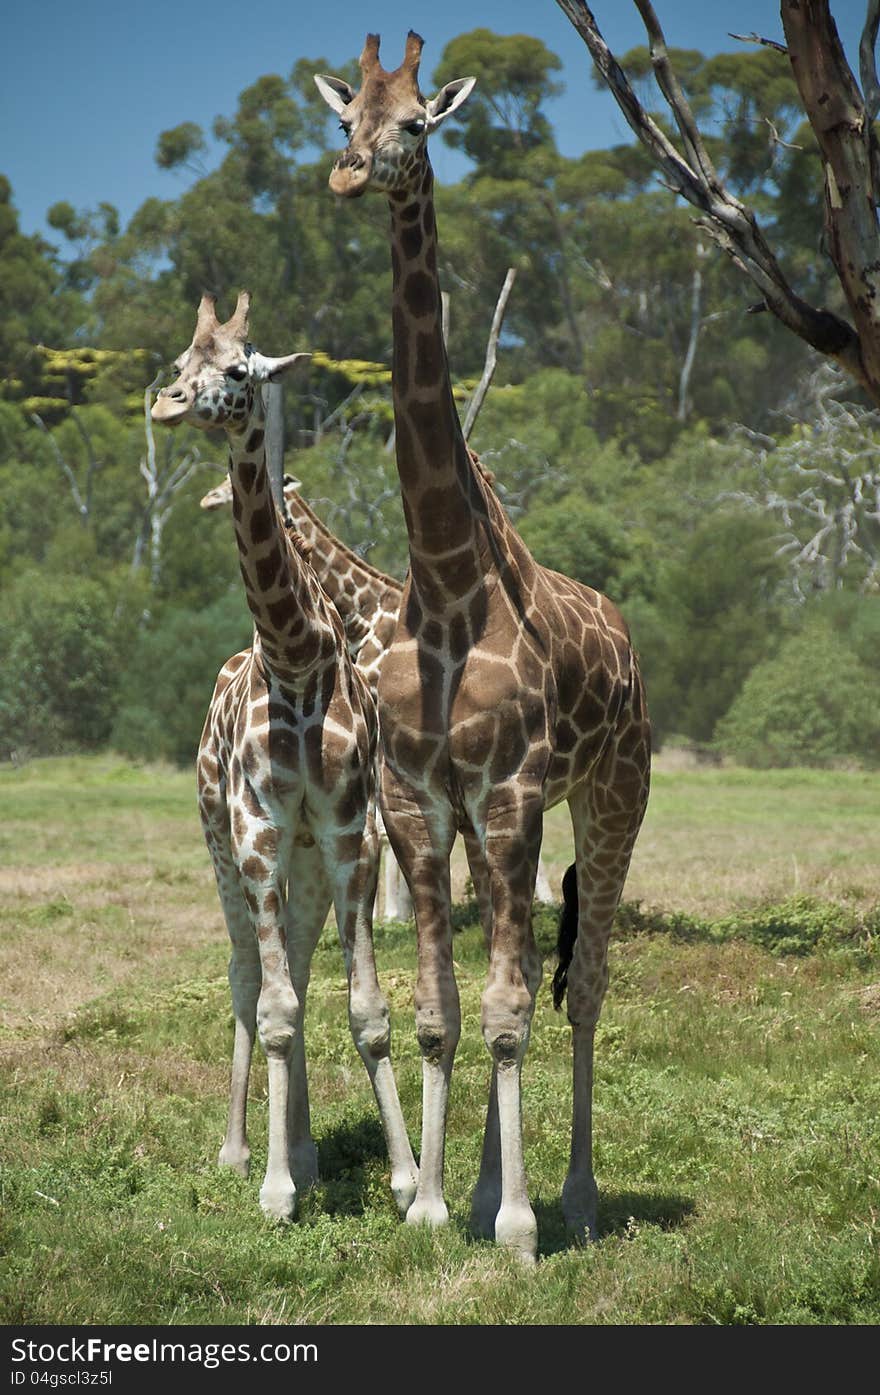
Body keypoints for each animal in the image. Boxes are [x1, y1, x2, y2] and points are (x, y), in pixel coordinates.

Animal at [152, 291, 421, 1222]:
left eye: (238, 369)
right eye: (180, 362)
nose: (163, 403)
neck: (294, 654)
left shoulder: (343, 829)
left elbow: (364, 1006)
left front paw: (409, 1178)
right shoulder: (258, 828)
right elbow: (271, 1004)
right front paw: (274, 1190)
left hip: (303, 858)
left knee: (295, 969)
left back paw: (302, 1148)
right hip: (221, 843)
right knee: (248, 974)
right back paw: (244, 1152)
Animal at [317, 32, 655, 1261]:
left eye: (417, 123)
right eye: (344, 120)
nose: (351, 174)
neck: (448, 587)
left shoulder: (509, 797)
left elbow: (513, 1013)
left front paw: (513, 1227)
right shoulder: (422, 803)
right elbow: (438, 1013)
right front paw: (427, 1204)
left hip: (612, 792)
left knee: (586, 985)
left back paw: (577, 1199)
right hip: (499, 822)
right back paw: (472, 1190)